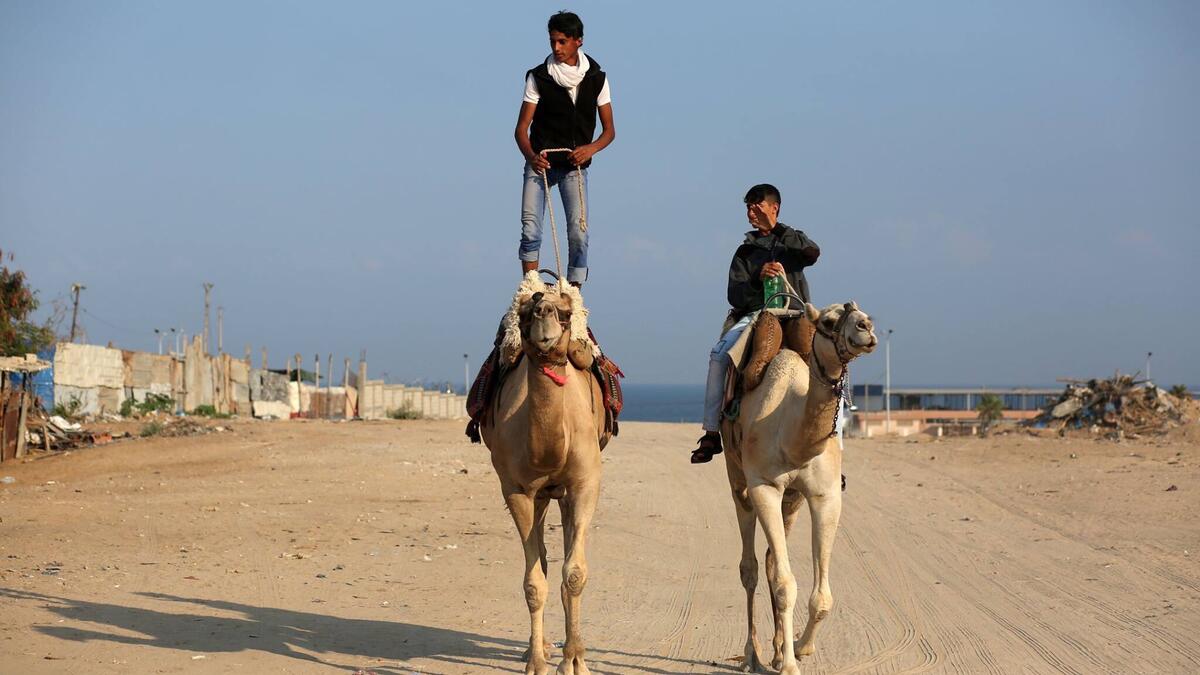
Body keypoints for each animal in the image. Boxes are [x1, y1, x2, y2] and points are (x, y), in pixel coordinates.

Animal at [481, 278, 608, 675]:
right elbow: (534, 582)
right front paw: (537, 661)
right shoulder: (517, 489)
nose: (543, 312)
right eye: (524, 314)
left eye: (565, 312)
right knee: (546, 560)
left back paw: (572, 649)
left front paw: (575, 661)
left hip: (562, 493)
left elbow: (575, 573)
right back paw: (537, 648)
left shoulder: (584, 483)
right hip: (539, 496)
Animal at [721, 301, 877, 674]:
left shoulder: (825, 495)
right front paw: (791, 665)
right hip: (738, 477)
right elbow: (784, 584)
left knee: (769, 559)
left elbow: (821, 596)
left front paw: (800, 648)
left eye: (864, 313)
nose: (866, 327)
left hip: (791, 500)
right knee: (749, 567)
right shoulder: (764, 487)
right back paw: (753, 654)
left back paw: (777, 650)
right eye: (829, 322)